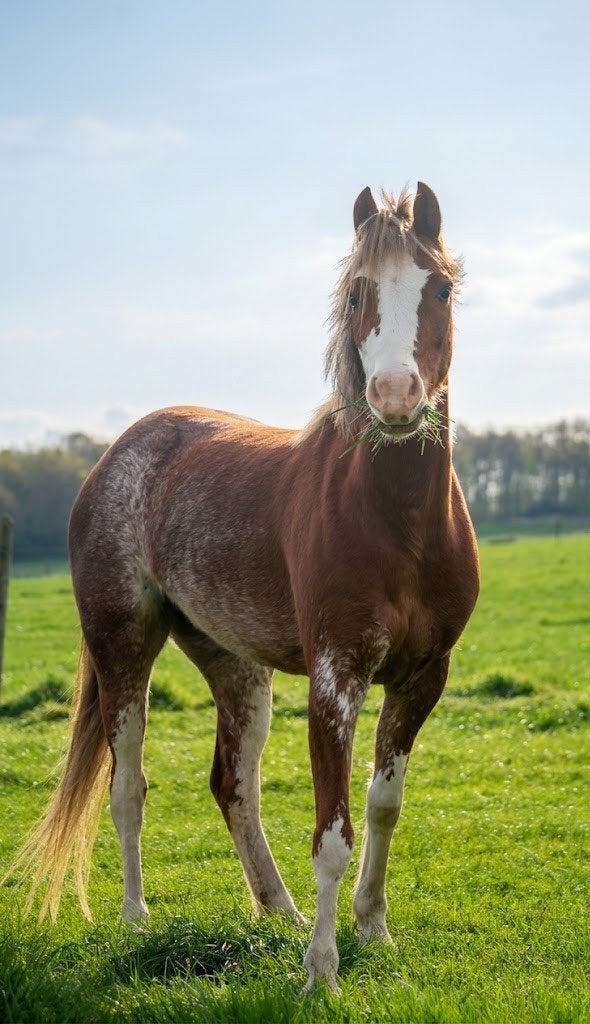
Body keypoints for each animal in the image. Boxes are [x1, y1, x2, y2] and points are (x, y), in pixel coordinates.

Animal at [12, 182, 479, 991]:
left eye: (440, 289)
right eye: (357, 292)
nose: (395, 397)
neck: (396, 522)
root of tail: (119, 453)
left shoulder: (423, 678)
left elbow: (382, 807)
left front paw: (374, 932)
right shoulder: (336, 679)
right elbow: (333, 832)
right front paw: (321, 971)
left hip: (233, 664)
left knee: (233, 784)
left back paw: (278, 914)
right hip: (124, 648)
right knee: (127, 786)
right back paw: (137, 919)